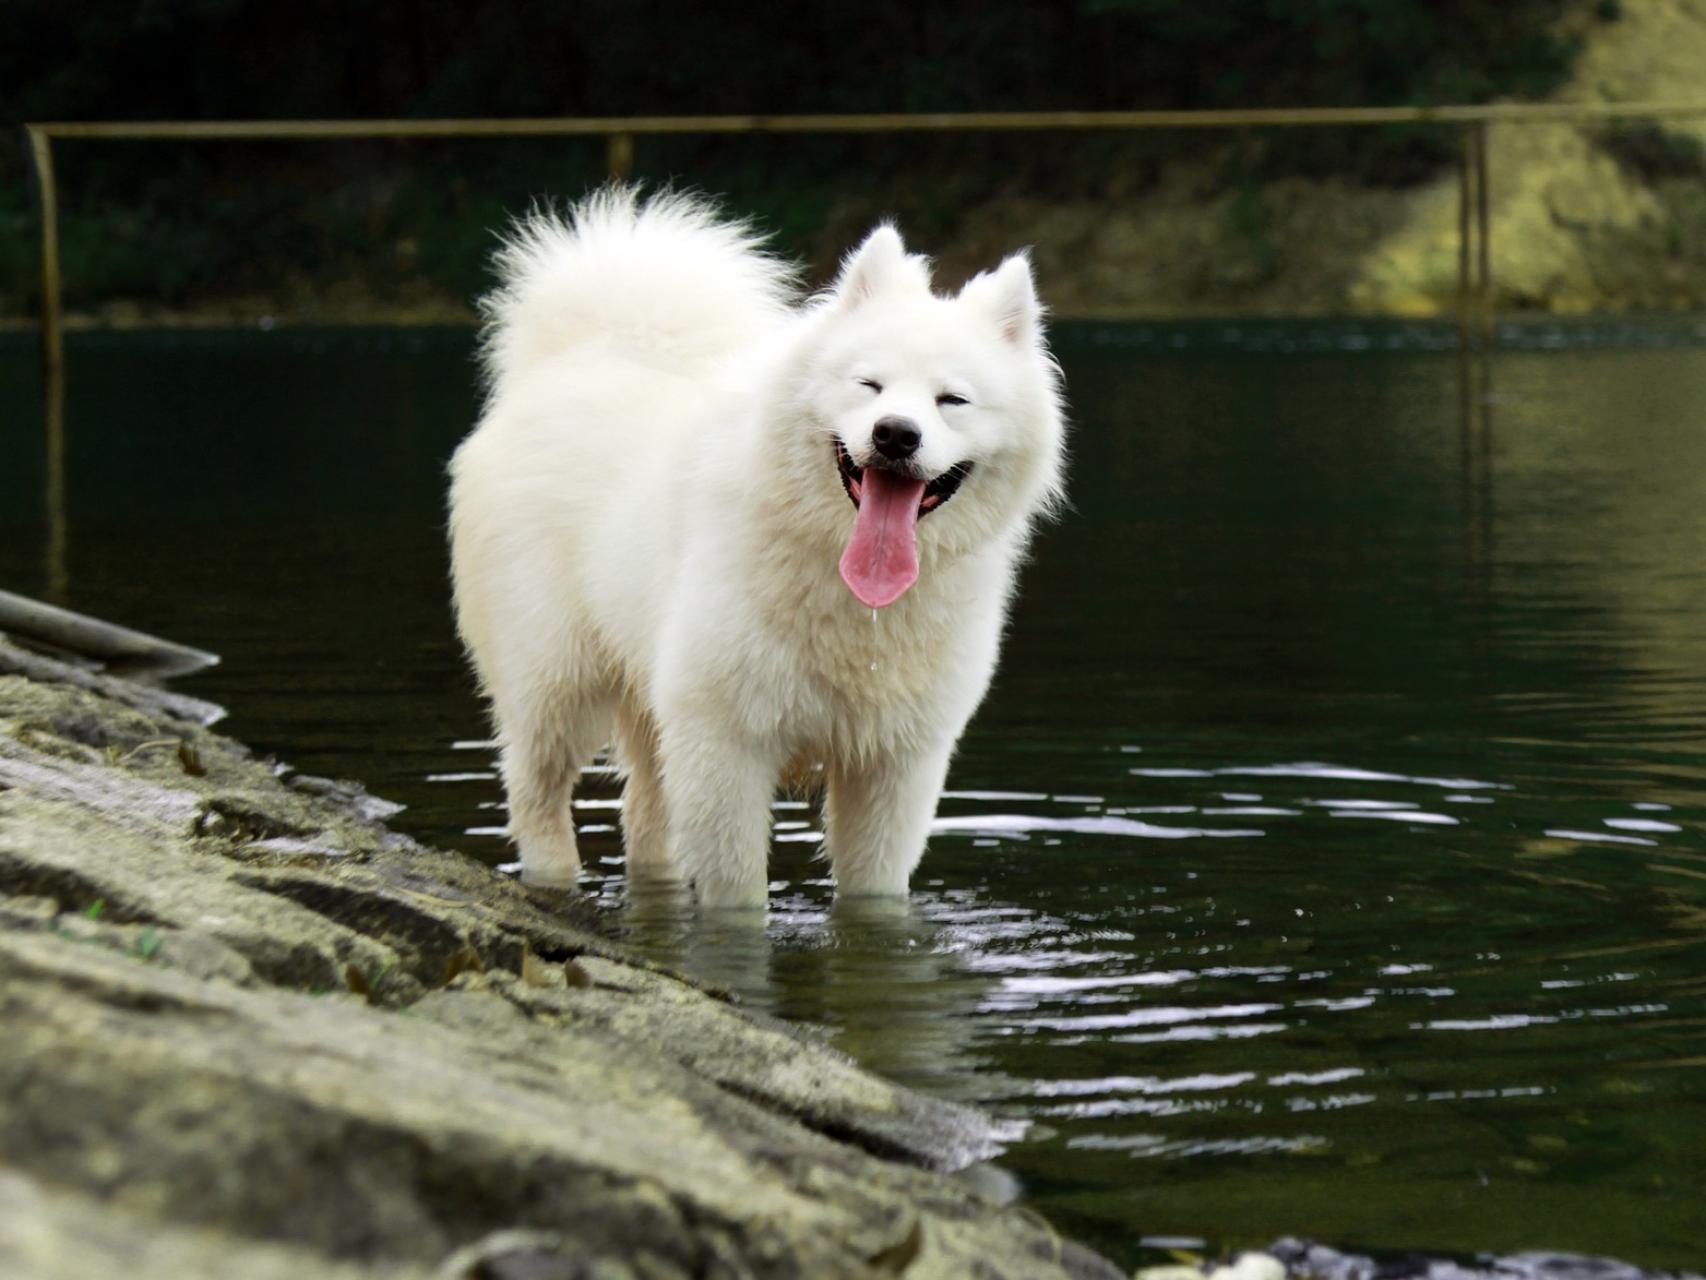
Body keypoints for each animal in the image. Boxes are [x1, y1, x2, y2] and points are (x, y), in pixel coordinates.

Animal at [453, 190, 1064, 914]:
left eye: (953, 400)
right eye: (869, 385)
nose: (895, 434)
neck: (847, 590)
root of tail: (582, 354)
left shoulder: (894, 764)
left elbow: (873, 898)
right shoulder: (726, 745)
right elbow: (739, 900)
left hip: (652, 702)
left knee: (645, 819)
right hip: (556, 681)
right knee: (537, 794)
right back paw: (553, 879)